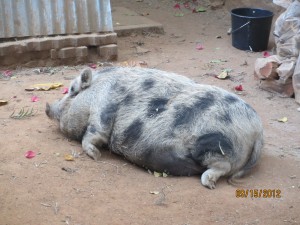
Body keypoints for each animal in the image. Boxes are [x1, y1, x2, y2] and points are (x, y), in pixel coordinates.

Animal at [45, 67, 264, 190]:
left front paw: (95, 156)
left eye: (72, 91)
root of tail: (258, 131)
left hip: (214, 143)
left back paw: (208, 183)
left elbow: (93, 135)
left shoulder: (103, 110)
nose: (47, 107)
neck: (98, 89)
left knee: (222, 166)